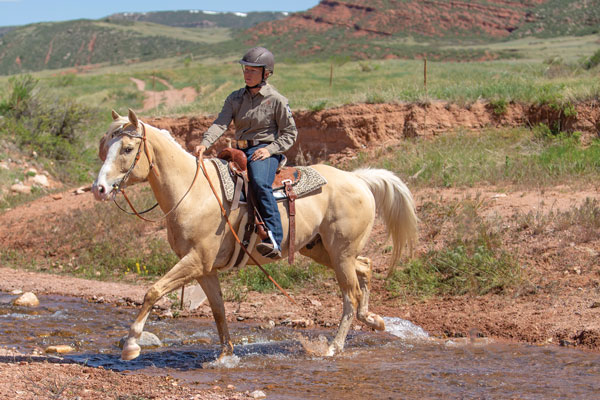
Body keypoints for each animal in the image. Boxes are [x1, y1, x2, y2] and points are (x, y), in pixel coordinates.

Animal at [92, 108, 418, 360]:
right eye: (104, 147)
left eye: (127, 149)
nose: (99, 189)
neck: (194, 191)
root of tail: (357, 178)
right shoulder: (205, 269)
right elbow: (219, 309)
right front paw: (226, 354)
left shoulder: (195, 261)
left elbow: (153, 291)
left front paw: (131, 345)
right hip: (323, 250)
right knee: (366, 267)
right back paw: (373, 320)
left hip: (340, 253)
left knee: (350, 295)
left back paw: (333, 347)